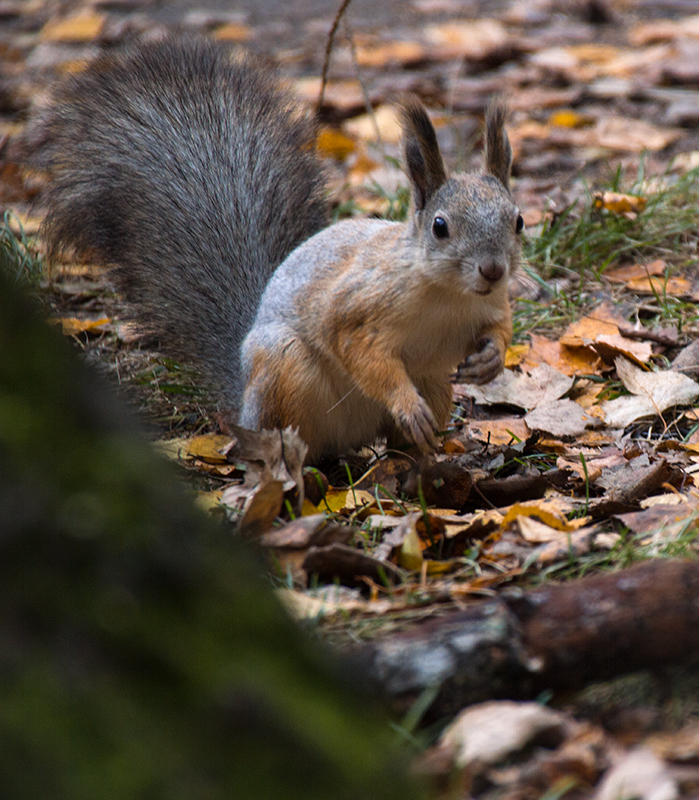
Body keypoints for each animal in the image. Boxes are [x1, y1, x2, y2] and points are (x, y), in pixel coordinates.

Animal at [40, 34, 522, 463]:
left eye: (518, 220)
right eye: (440, 227)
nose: (493, 270)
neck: (448, 295)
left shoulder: (491, 306)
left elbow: (501, 328)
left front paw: (491, 360)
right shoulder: (360, 305)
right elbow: (361, 352)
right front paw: (405, 403)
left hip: (435, 384)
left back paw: (419, 460)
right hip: (284, 368)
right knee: (290, 437)